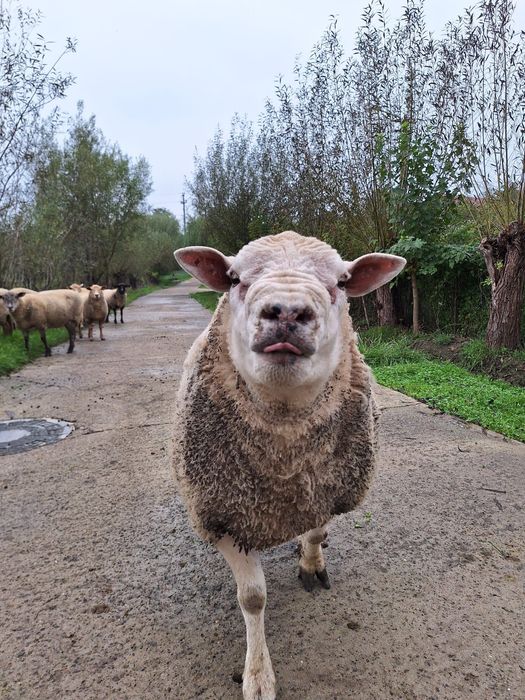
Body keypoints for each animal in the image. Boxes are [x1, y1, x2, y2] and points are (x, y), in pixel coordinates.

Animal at [173, 231, 406, 700]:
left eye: (341, 282)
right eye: (234, 278)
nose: (286, 312)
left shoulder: (325, 489)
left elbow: (315, 531)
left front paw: (312, 565)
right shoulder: (226, 516)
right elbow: (253, 598)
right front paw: (258, 675)